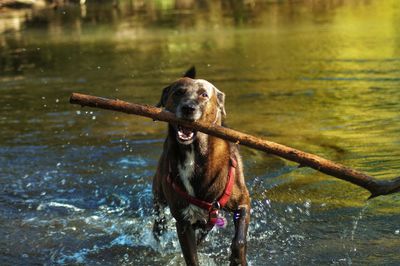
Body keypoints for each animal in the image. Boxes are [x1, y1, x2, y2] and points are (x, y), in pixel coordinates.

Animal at [152, 67, 250, 264]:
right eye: (178, 92)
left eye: (204, 95)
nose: (188, 108)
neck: (193, 153)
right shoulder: (183, 223)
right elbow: (191, 257)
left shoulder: (243, 202)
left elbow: (239, 240)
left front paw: (237, 259)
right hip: (159, 195)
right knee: (159, 223)